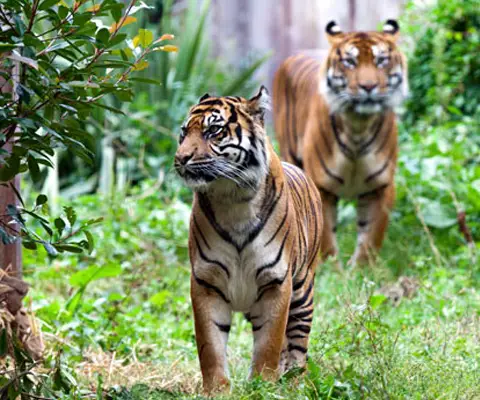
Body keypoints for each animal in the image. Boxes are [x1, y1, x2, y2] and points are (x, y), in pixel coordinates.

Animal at [172, 87, 322, 394]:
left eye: (213, 130)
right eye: (184, 132)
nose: (180, 158)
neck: (233, 198)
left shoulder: (277, 282)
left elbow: (269, 343)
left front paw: (263, 386)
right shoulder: (206, 281)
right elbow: (210, 345)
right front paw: (216, 390)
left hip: (303, 292)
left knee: (298, 345)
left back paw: (294, 383)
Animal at [274, 20, 408, 268]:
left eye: (381, 60)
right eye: (350, 62)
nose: (368, 87)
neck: (358, 127)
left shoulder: (380, 186)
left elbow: (370, 237)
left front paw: (361, 270)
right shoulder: (321, 186)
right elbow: (325, 236)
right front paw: (332, 268)